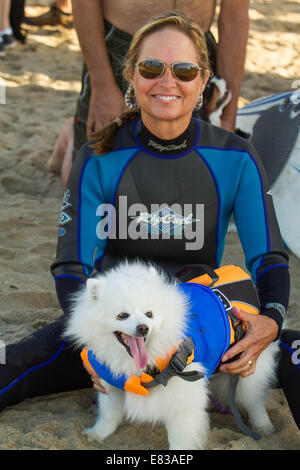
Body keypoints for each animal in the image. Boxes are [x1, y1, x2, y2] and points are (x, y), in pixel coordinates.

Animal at [65, 260, 278, 448]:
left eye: (149, 314)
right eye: (122, 315)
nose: (143, 328)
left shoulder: (184, 396)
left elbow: (180, 437)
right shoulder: (112, 384)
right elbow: (108, 414)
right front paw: (97, 434)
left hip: (247, 368)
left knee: (255, 399)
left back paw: (264, 426)